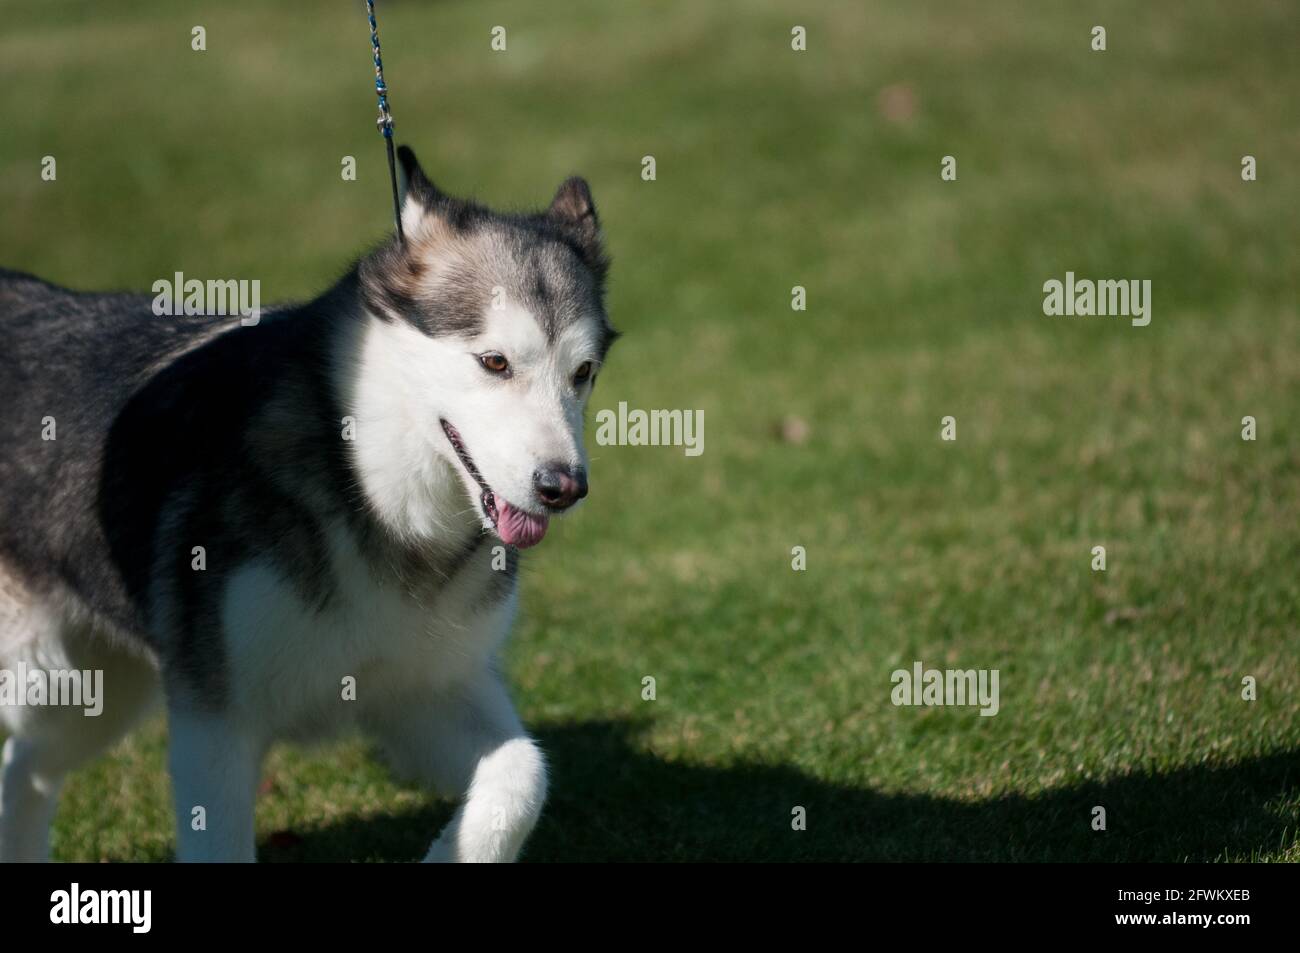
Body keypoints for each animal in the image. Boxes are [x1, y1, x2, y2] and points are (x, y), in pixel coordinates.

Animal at [0, 146, 616, 863]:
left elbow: (525, 772)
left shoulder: (420, 690)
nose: (563, 486)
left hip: (93, 689)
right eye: (495, 362)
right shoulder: (216, 723)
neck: (376, 498)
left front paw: (453, 851)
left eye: (583, 372)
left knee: (28, 766)